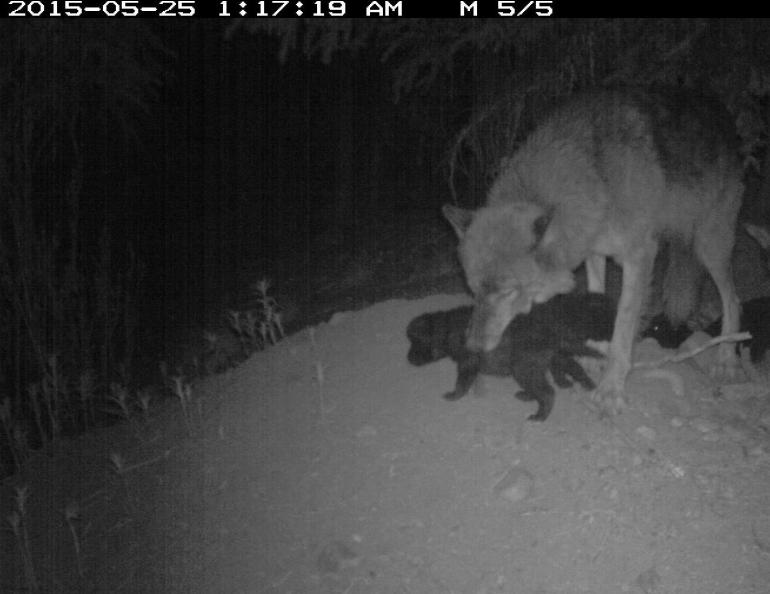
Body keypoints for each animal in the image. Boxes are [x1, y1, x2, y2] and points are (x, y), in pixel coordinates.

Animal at [440, 88, 740, 412]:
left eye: (508, 292)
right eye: (473, 291)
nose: (471, 345)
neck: (596, 177)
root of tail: (720, 109)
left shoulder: (639, 256)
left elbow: (624, 323)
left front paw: (611, 386)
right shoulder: (593, 250)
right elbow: (596, 294)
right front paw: (593, 352)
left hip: (710, 247)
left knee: (733, 299)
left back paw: (727, 359)